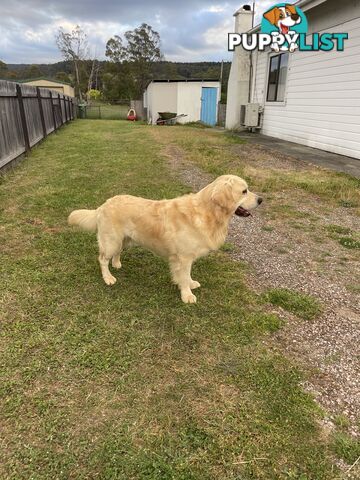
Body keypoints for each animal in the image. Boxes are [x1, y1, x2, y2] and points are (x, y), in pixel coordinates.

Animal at [68, 175, 262, 304]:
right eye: (244, 191)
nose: (261, 199)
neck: (208, 213)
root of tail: (103, 205)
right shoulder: (183, 258)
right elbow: (183, 276)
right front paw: (187, 295)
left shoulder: (186, 257)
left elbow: (187, 275)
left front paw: (191, 284)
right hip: (111, 240)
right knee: (102, 259)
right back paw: (108, 277)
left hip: (125, 240)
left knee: (117, 253)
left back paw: (116, 264)